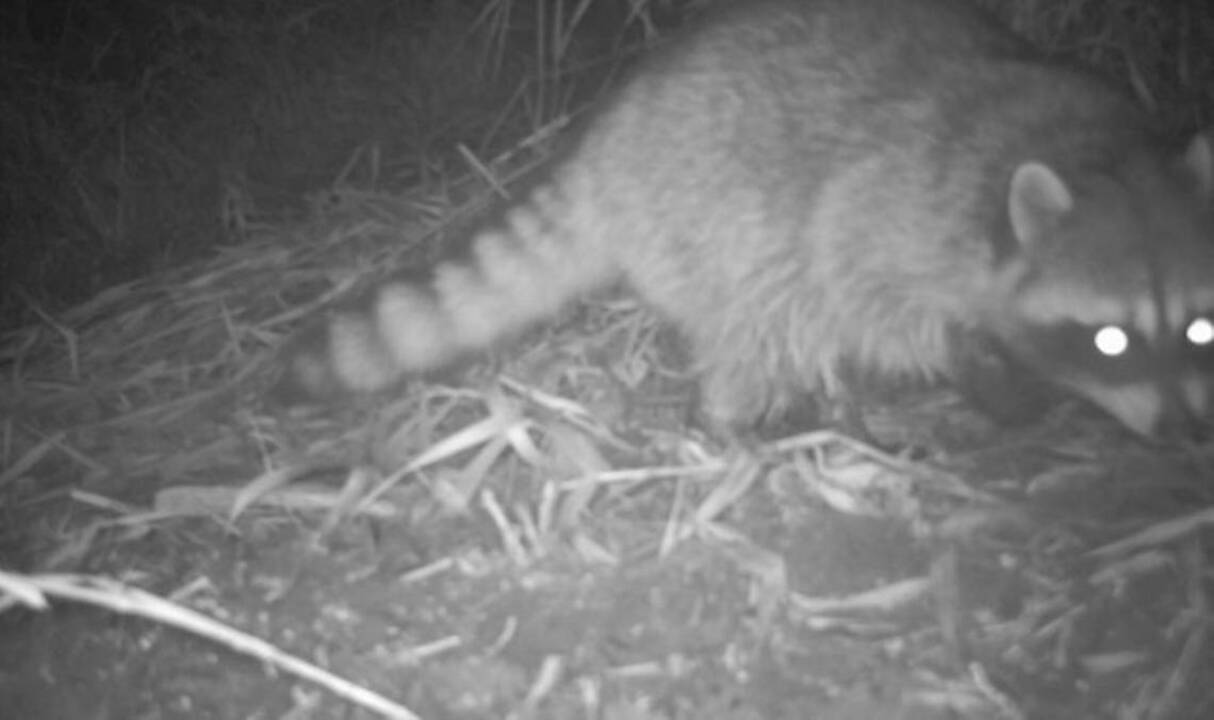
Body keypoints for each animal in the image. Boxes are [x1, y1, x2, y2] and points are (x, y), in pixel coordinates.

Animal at [274, 0, 1214, 439]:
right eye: (1110, 339)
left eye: (1200, 328)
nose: (1183, 432)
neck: (1091, 151)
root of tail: (608, 140)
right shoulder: (896, 211)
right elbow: (868, 287)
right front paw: (986, 374)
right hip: (704, 211)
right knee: (760, 313)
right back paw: (742, 418)